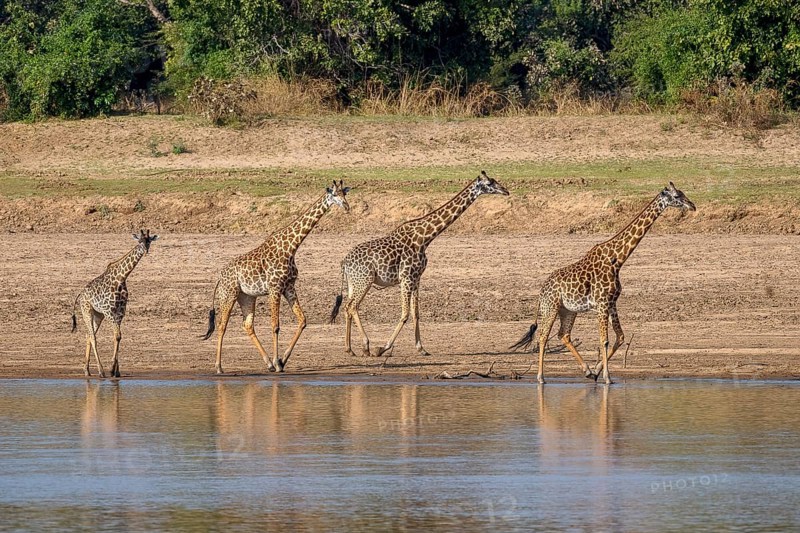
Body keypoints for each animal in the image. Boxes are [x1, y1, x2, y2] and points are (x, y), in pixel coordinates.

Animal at [71, 229, 159, 378]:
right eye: (139, 241)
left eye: (149, 241)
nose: (145, 250)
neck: (121, 278)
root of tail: (80, 294)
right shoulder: (109, 311)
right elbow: (117, 336)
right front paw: (111, 369)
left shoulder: (120, 312)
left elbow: (118, 337)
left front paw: (116, 371)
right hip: (87, 310)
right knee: (93, 337)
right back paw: (101, 371)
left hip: (98, 314)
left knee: (88, 335)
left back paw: (87, 370)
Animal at [202, 181, 350, 374]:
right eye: (334, 195)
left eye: (345, 194)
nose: (347, 207)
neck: (290, 248)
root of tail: (219, 278)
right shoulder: (275, 288)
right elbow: (275, 326)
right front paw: (278, 362)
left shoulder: (289, 287)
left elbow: (302, 321)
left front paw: (281, 360)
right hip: (229, 294)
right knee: (222, 325)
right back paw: (219, 367)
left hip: (247, 296)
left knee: (247, 325)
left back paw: (268, 363)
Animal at [329, 171, 509, 358]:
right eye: (489, 183)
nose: (506, 191)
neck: (425, 238)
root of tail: (344, 262)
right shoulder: (406, 278)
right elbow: (405, 314)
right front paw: (383, 348)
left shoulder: (416, 279)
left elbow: (416, 314)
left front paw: (421, 348)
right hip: (365, 281)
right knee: (353, 306)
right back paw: (366, 346)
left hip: (354, 283)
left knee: (347, 307)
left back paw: (349, 348)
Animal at [511, 182, 696, 384]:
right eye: (677, 196)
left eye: (683, 193)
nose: (692, 206)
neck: (618, 259)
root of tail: (541, 292)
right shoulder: (602, 303)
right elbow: (604, 340)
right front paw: (607, 377)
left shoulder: (612, 303)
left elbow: (620, 337)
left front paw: (597, 371)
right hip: (550, 308)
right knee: (543, 337)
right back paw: (541, 377)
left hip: (568, 310)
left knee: (563, 334)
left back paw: (587, 370)